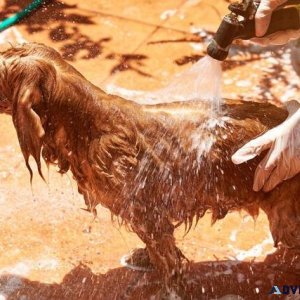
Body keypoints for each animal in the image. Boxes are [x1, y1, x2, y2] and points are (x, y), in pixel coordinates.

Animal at [0, 43, 300, 288]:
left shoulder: (148, 211)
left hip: (285, 214)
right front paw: (146, 259)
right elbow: (158, 247)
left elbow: (166, 258)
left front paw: (168, 286)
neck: (87, 126)